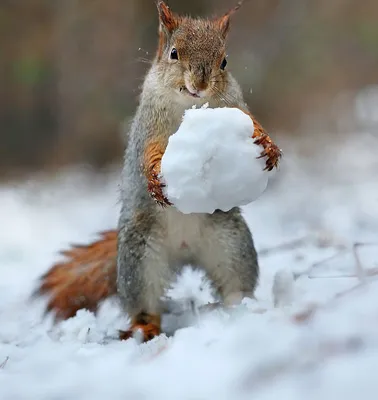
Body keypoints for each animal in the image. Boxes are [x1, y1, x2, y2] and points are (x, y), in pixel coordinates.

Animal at [37, 1, 282, 342]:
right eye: (174, 53)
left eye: (224, 61)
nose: (200, 85)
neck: (189, 106)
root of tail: (185, 249)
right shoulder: (149, 126)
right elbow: (150, 154)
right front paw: (154, 178)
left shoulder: (238, 108)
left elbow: (254, 123)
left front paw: (269, 146)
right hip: (139, 262)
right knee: (145, 303)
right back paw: (145, 327)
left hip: (232, 247)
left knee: (236, 285)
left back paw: (241, 311)